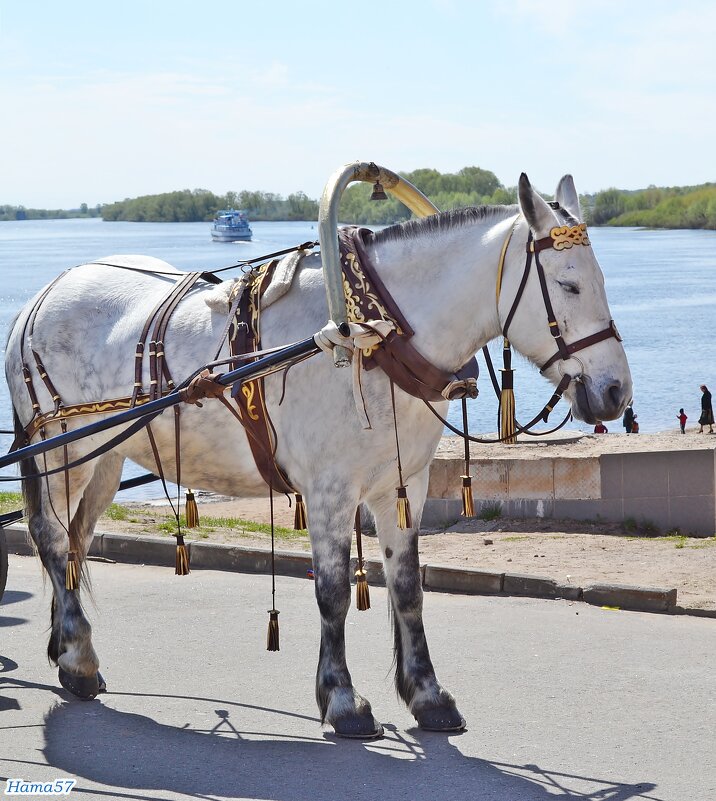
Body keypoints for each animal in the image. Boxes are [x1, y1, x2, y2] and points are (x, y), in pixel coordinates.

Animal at [7, 175, 632, 736]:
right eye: (570, 285)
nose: (617, 392)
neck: (373, 334)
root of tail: (41, 298)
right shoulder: (331, 491)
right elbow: (331, 591)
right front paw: (343, 700)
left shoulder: (403, 484)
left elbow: (408, 587)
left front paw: (427, 696)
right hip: (63, 447)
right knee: (51, 535)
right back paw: (78, 659)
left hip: (106, 456)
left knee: (75, 542)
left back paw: (65, 647)